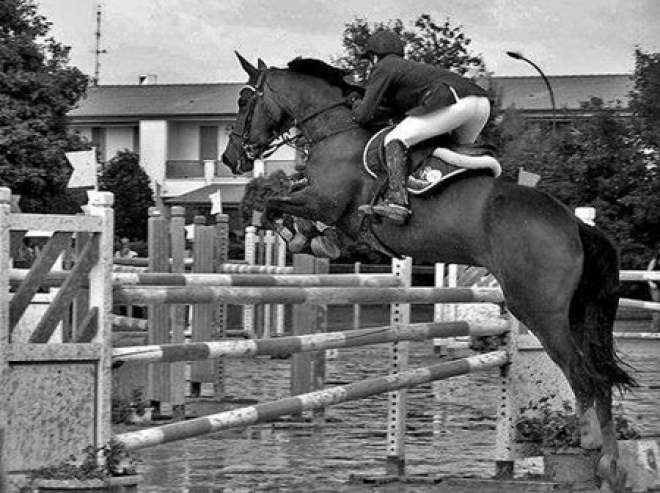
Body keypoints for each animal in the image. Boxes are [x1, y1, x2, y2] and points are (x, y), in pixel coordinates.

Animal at [222, 52, 636, 488]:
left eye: (243, 100)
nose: (230, 158)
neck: (335, 130)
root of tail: (575, 224)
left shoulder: (326, 201)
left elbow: (274, 204)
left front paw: (305, 238)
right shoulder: (327, 207)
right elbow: (291, 205)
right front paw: (316, 238)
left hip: (538, 310)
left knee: (584, 374)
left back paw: (594, 453)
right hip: (576, 312)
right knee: (599, 376)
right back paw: (613, 465)